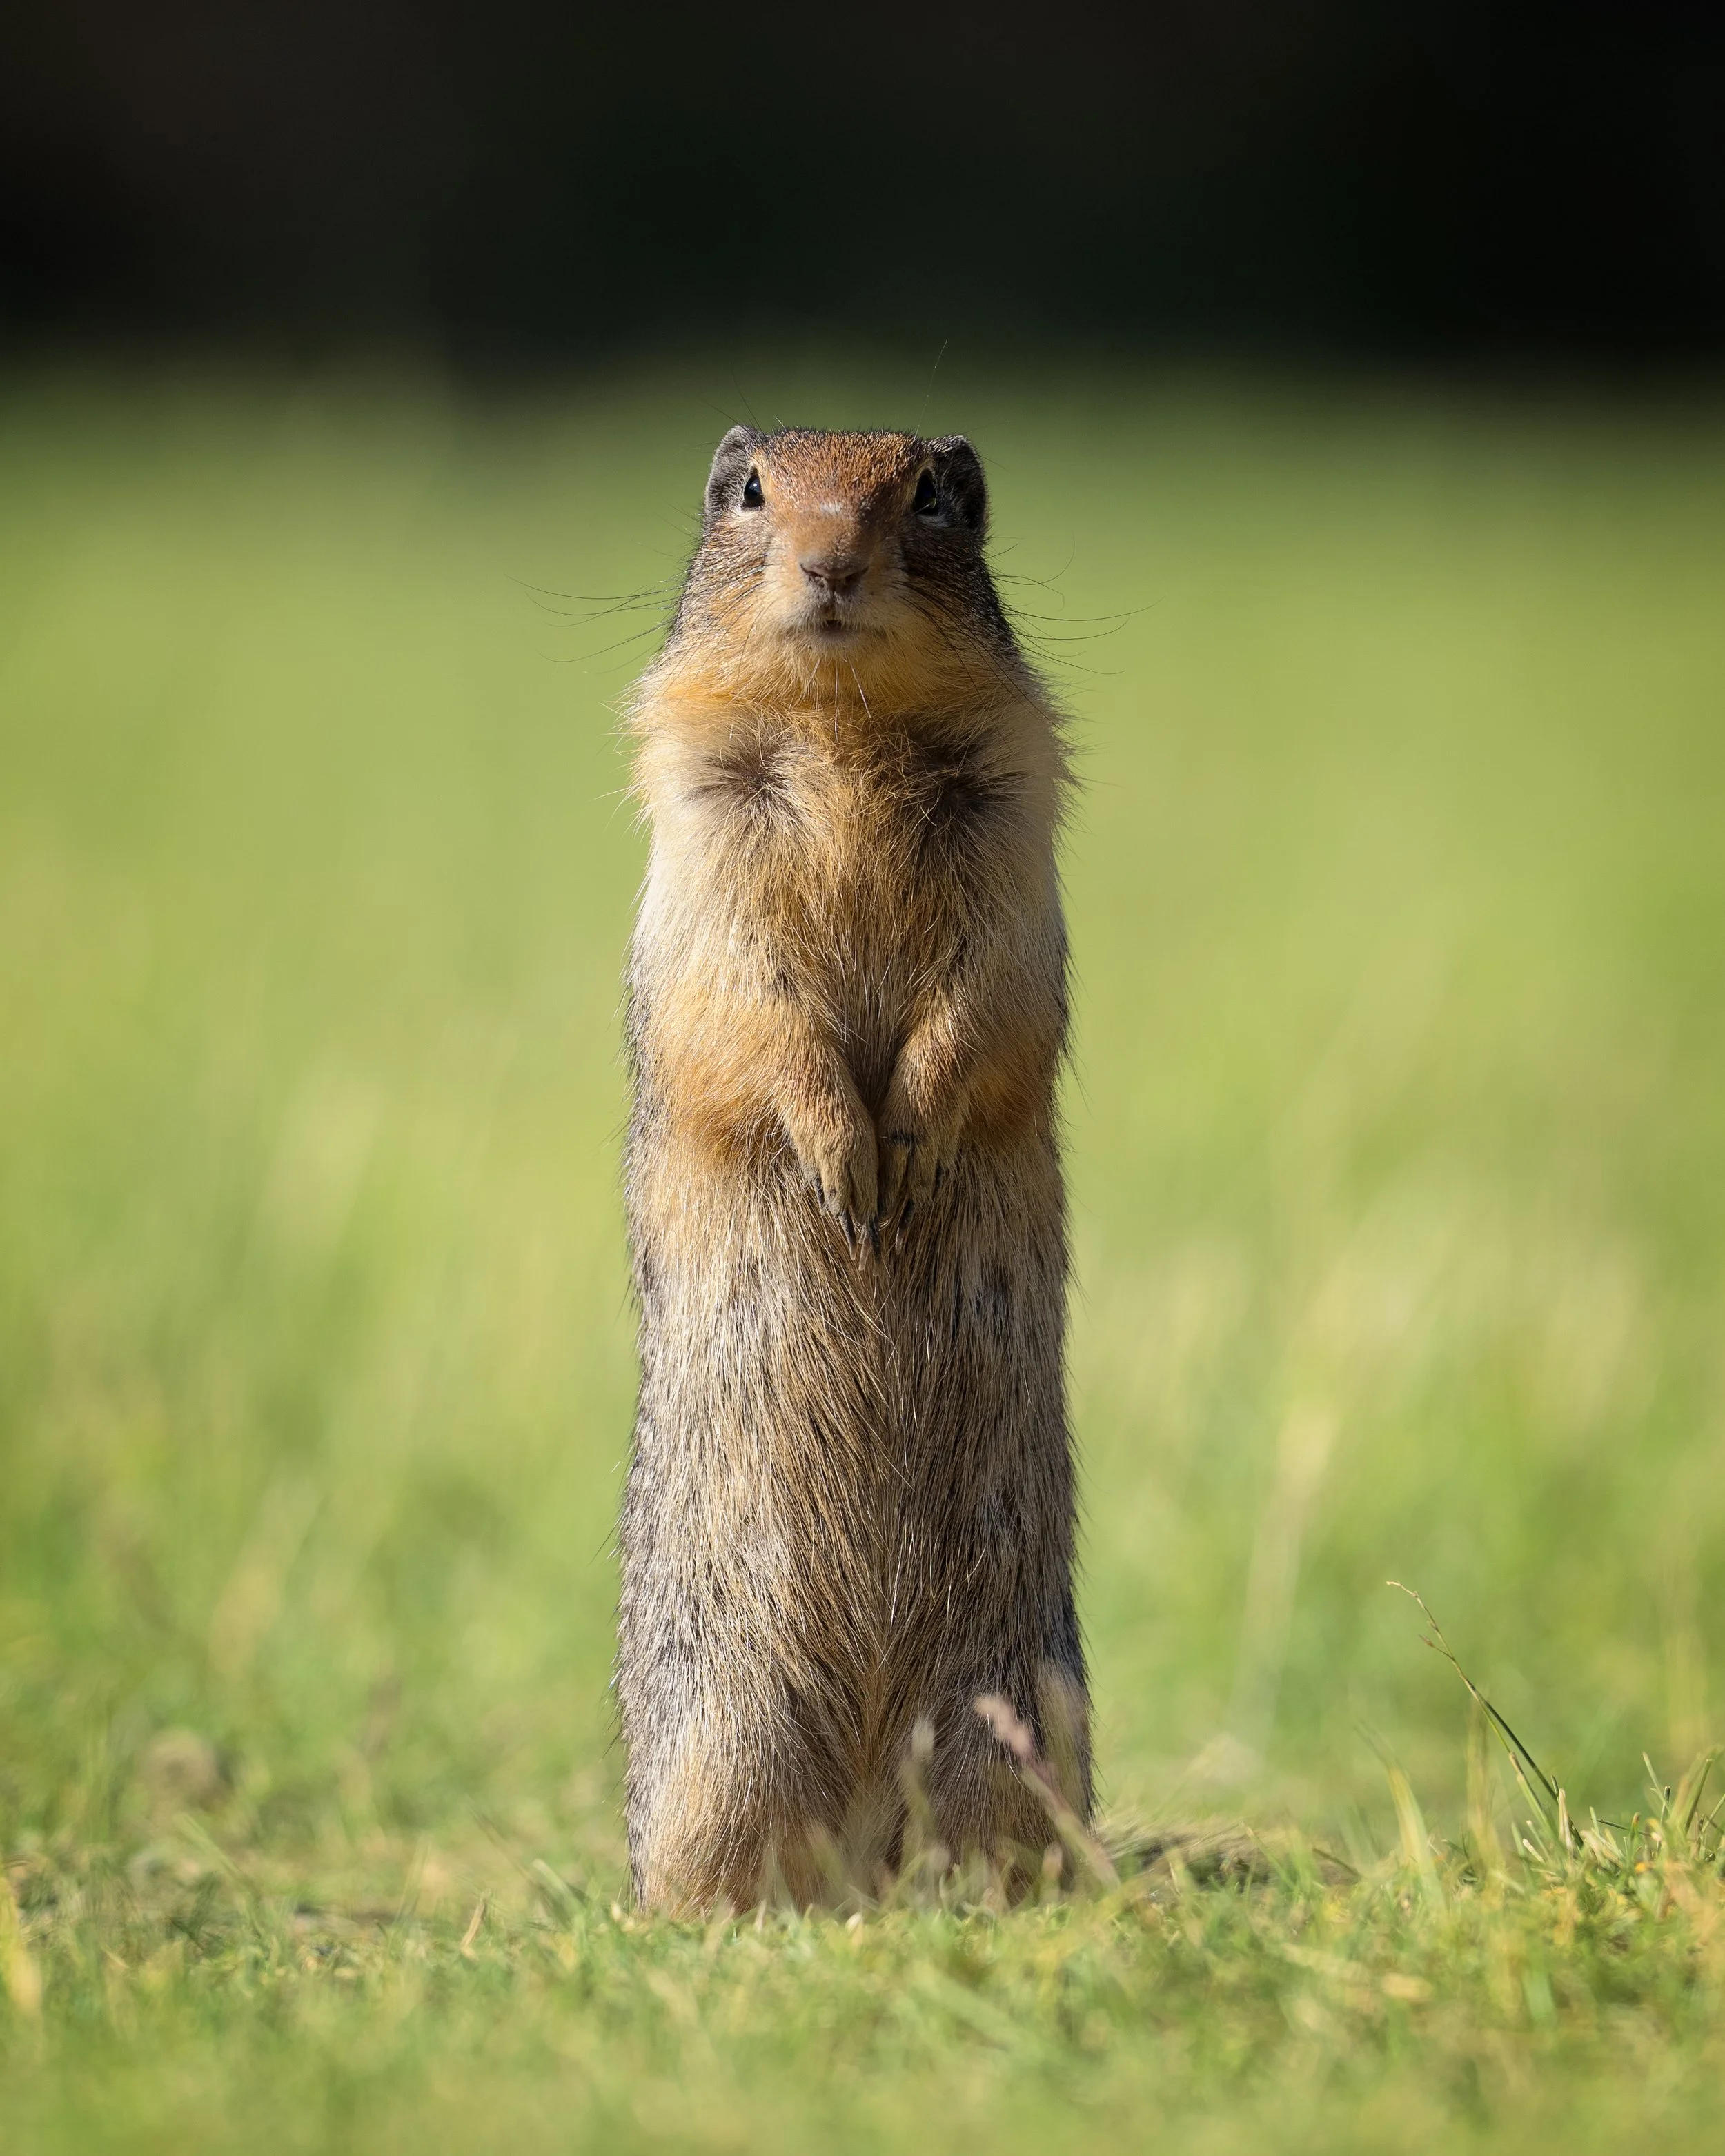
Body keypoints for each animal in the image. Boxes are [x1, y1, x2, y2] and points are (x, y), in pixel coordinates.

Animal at [616, 425, 1089, 1911]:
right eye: (749, 488)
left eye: (933, 493)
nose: (829, 562)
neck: (842, 729)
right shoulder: (706, 837)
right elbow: (748, 1005)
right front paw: (848, 1166)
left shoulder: (1010, 831)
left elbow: (985, 997)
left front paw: (909, 1147)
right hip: (724, 1726)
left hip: (1012, 1716)